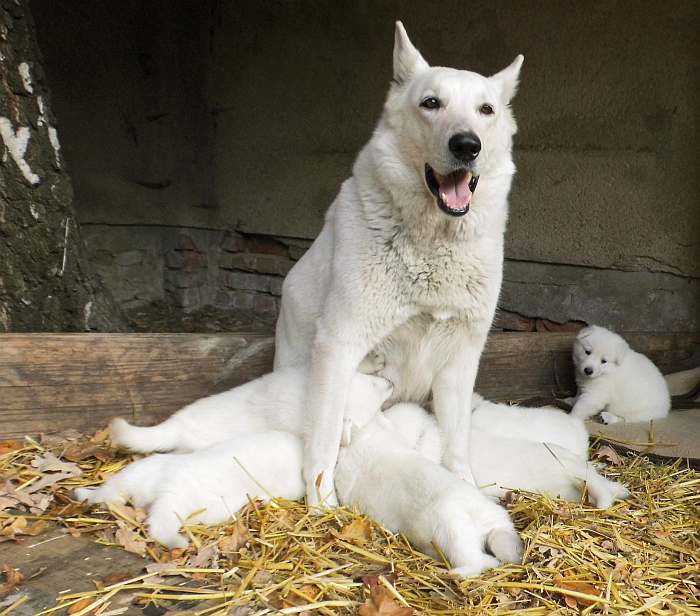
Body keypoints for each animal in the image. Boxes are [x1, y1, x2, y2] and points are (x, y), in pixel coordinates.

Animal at [76, 430, 300, 552]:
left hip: (133, 474)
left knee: (105, 492)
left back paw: (82, 492)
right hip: (177, 503)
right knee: (159, 527)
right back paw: (180, 542)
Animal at [276, 22, 524, 506]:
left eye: (485, 109)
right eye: (431, 103)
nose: (467, 145)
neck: (434, 242)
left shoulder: (461, 360)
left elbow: (456, 443)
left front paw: (466, 487)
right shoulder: (339, 344)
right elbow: (323, 442)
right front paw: (321, 507)